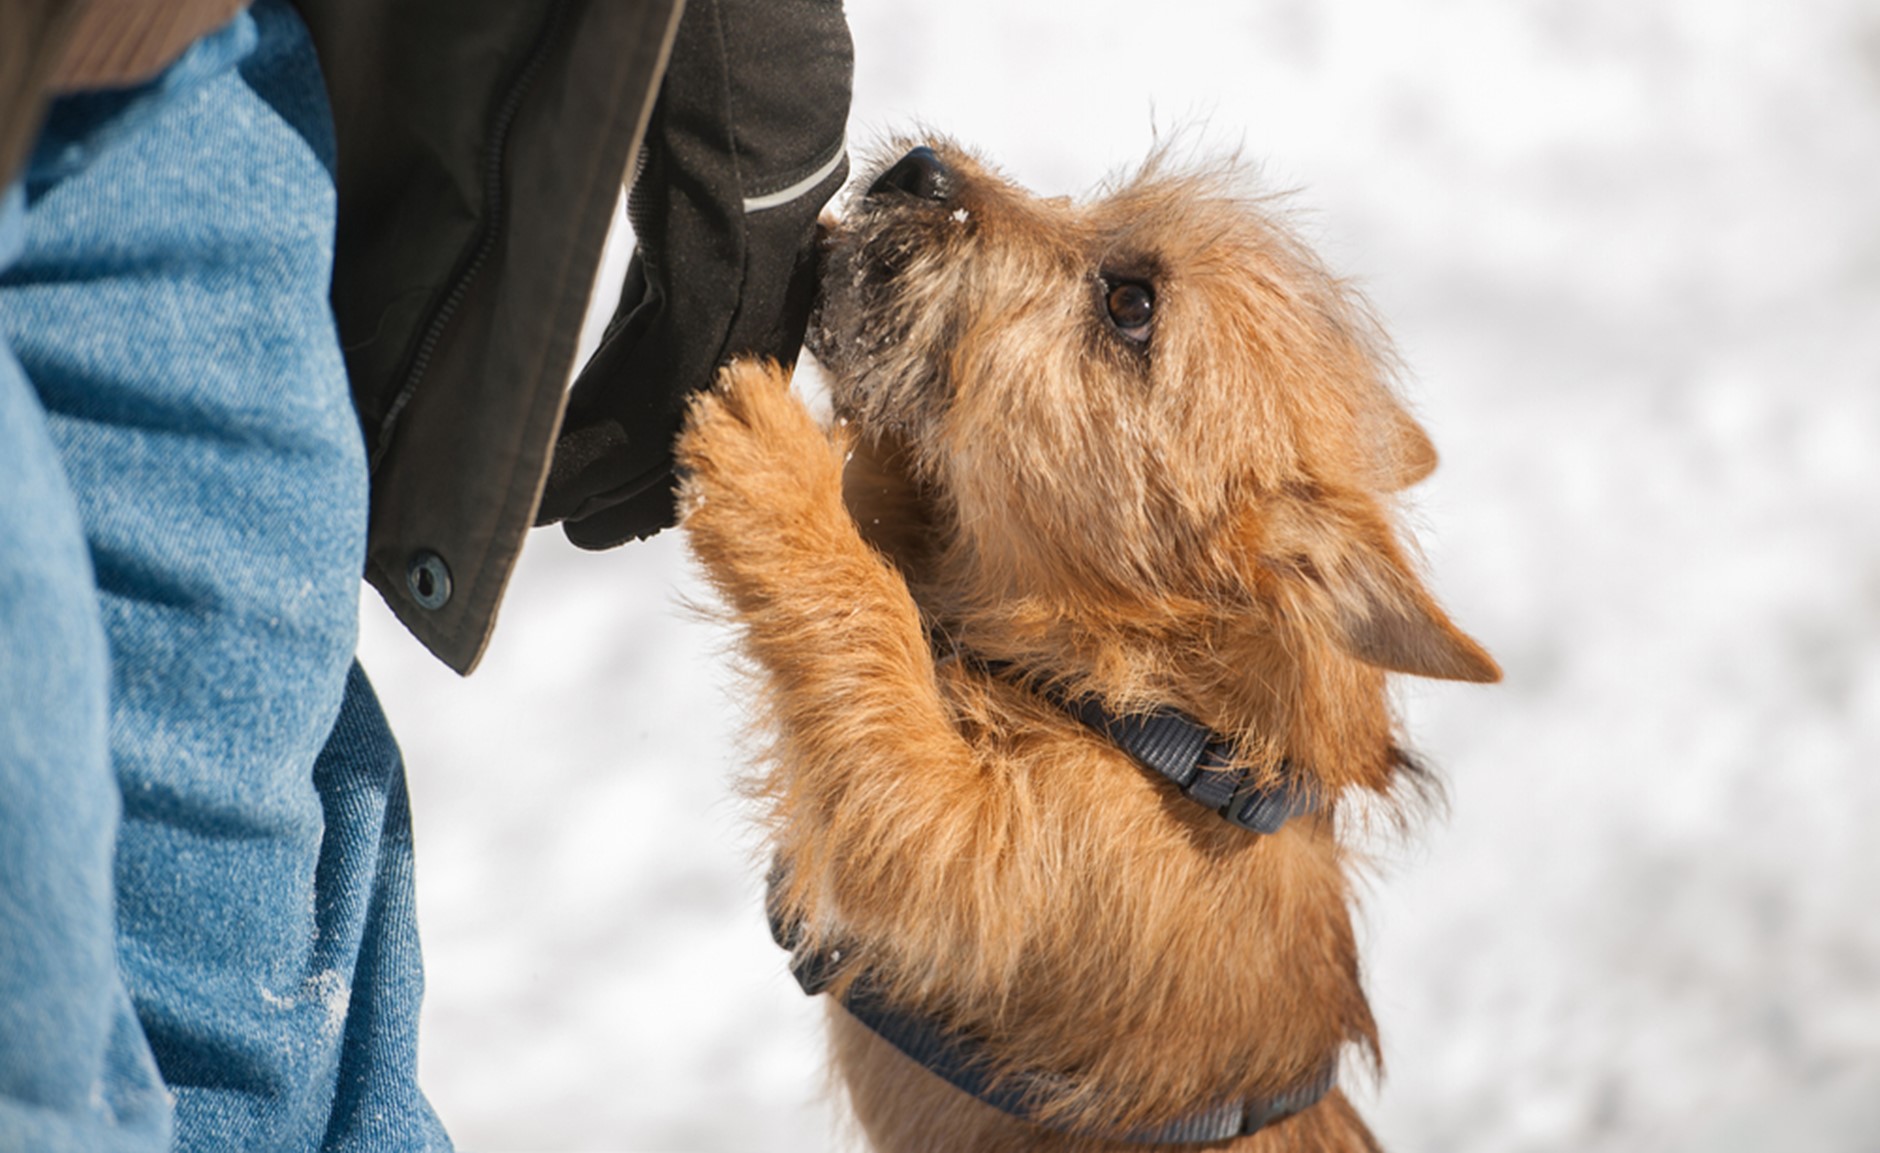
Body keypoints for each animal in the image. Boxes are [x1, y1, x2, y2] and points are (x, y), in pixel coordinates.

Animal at [676, 137, 1496, 1151]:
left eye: (1131, 304)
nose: (919, 169)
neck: (1159, 720)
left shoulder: (974, 848)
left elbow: (874, 658)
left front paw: (778, 475)